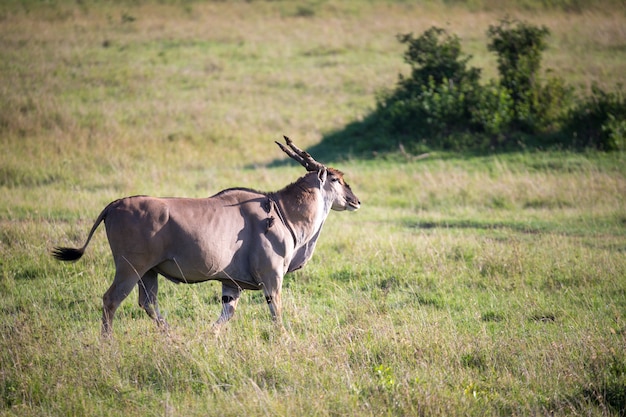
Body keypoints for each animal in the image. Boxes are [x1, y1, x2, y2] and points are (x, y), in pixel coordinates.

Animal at [51, 136, 358, 334]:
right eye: (336, 179)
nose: (356, 200)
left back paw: (170, 334)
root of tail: (114, 205)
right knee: (111, 300)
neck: (281, 210)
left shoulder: (230, 285)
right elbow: (276, 315)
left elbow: (225, 315)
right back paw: (108, 343)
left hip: (149, 272)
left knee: (147, 303)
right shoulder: (272, 278)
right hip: (130, 269)